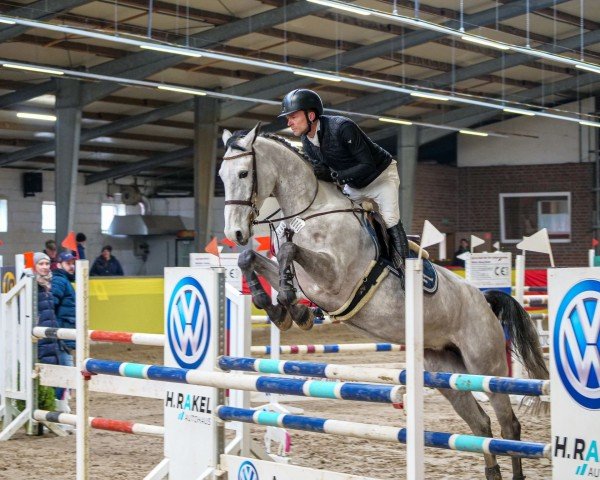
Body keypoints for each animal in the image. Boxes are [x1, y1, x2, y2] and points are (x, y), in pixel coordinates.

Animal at [219, 125, 548, 478]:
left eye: (243, 173)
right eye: (222, 176)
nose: (234, 233)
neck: (312, 214)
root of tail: (484, 300)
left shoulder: (335, 279)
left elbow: (288, 252)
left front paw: (288, 304)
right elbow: (250, 258)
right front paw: (281, 308)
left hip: (484, 365)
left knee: (508, 424)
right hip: (446, 372)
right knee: (481, 424)